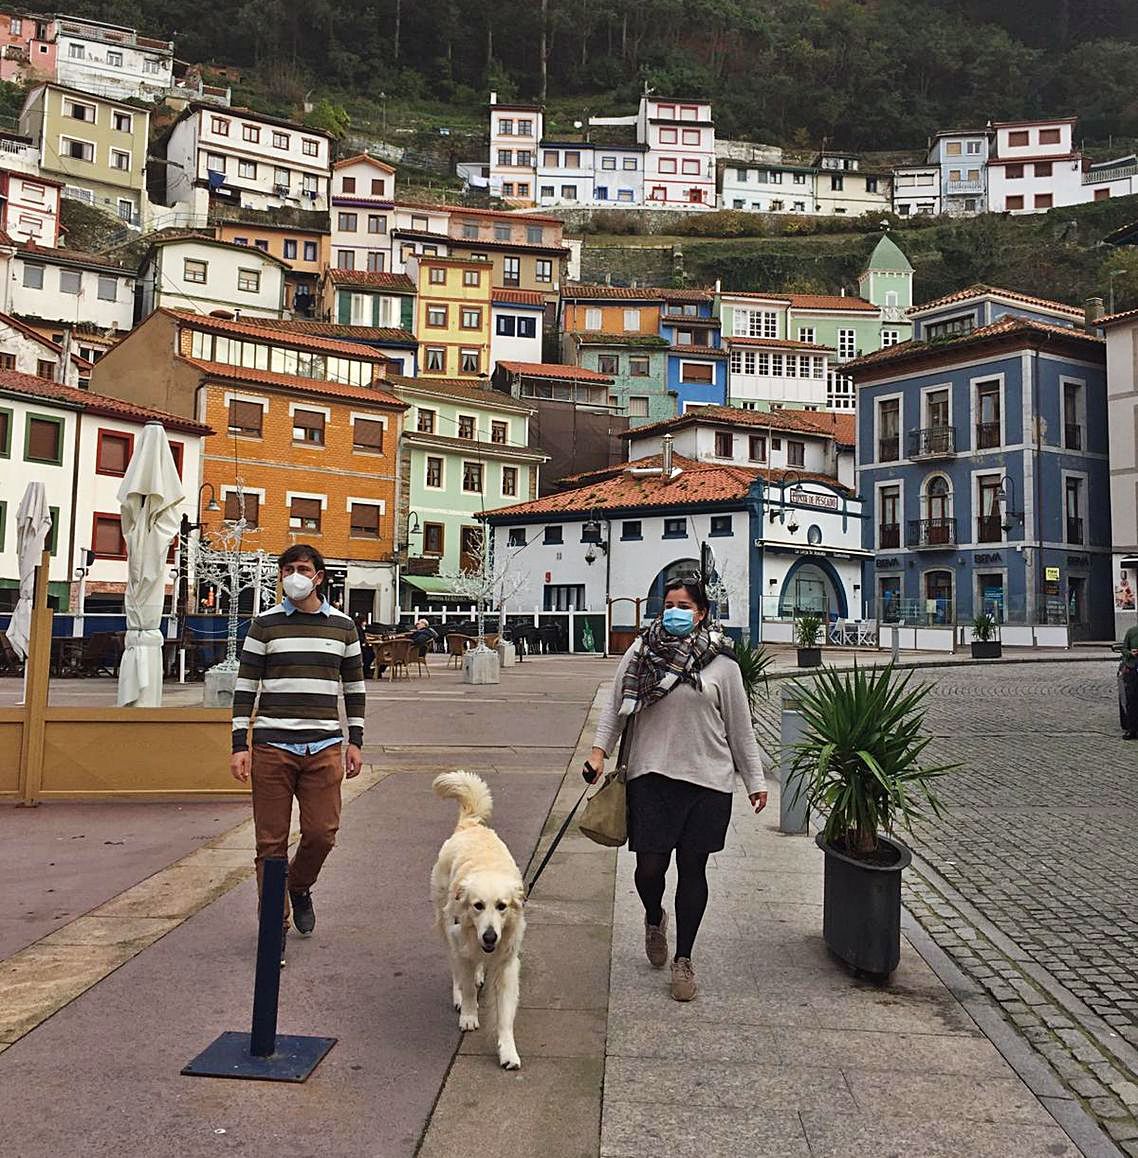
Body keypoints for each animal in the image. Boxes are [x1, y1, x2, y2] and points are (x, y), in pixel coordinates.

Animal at [430, 773, 530, 1069]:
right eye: (478, 906)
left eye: (501, 906)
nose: (489, 937)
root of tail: (470, 825)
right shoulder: (462, 946)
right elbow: (467, 988)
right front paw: (469, 1015)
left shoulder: (507, 964)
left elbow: (505, 1015)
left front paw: (508, 1051)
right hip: (444, 924)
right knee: (455, 968)